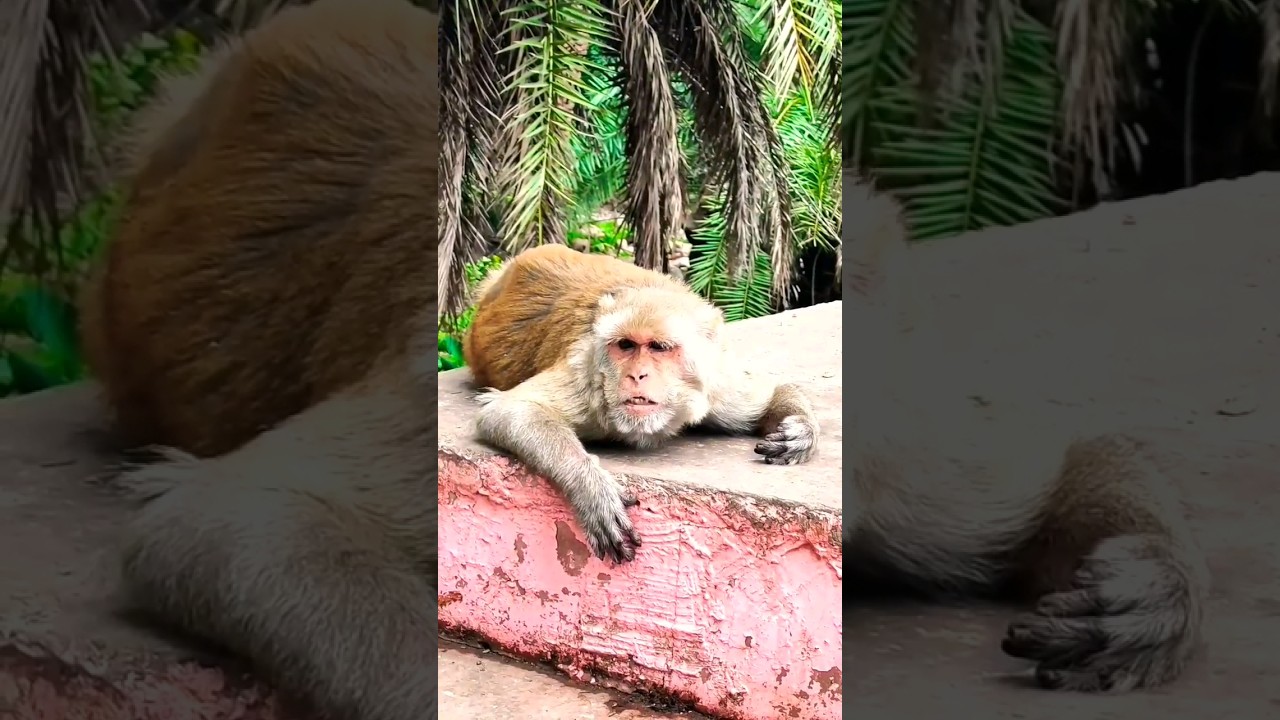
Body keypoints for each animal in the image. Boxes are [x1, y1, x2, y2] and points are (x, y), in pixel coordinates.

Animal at [461, 244, 821, 563]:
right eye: (626, 346)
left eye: (658, 347)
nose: (637, 375)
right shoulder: (586, 375)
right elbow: (508, 410)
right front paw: (592, 490)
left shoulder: (717, 387)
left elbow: (769, 397)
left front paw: (800, 432)